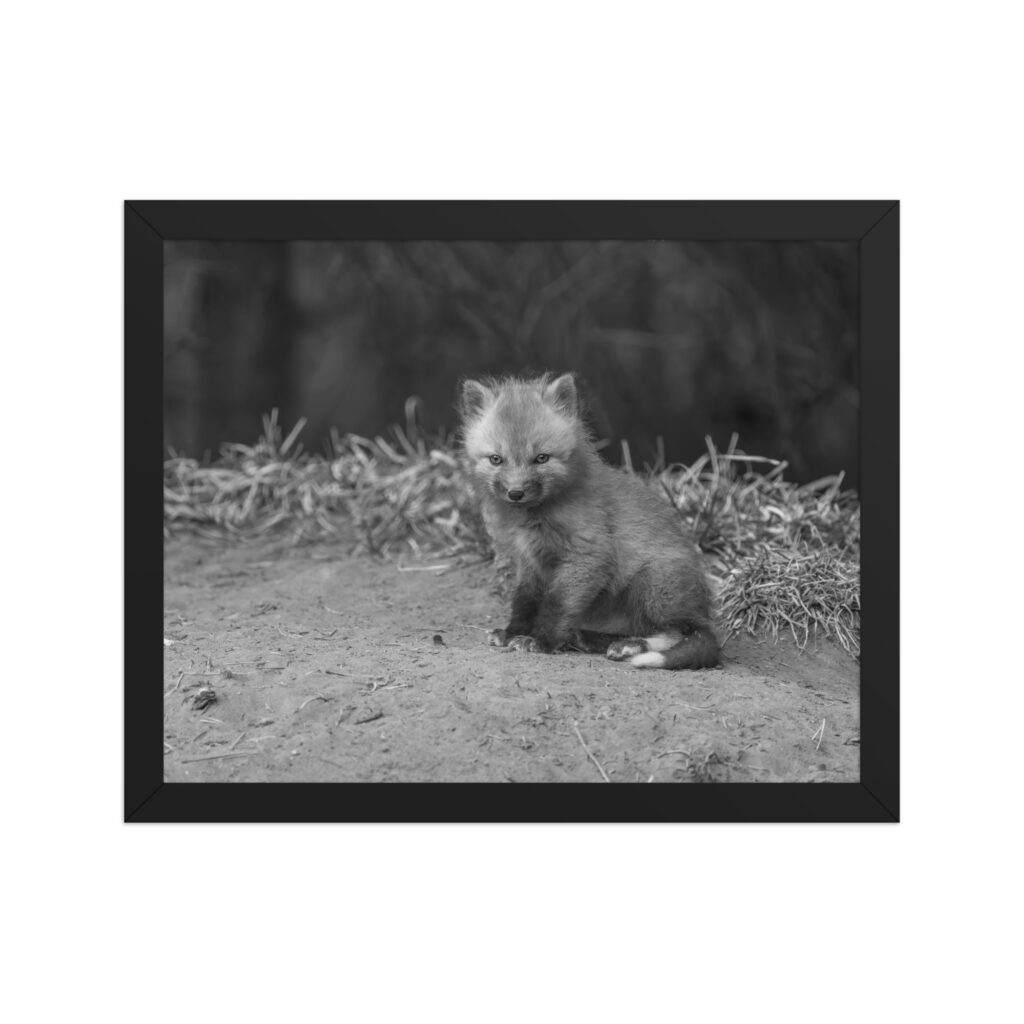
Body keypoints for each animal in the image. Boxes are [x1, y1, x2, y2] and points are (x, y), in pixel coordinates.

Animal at [459, 372, 720, 670]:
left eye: (541, 458)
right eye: (496, 459)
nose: (516, 493)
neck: (534, 519)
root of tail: (703, 610)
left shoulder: (587, 555)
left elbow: (557, 604)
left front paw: (540, 640)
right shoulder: (529, 562)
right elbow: (524, 601)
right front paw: (513, 632)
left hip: (652, 585)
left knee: (679, 632)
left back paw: (630, 646)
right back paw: (589, 639)